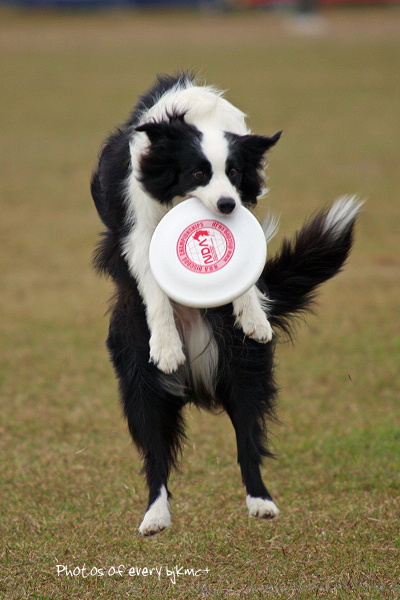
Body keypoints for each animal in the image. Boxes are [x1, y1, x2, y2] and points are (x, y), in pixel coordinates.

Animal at [91, 71, 362, 536]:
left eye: (233, 173)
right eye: (199, 172)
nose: (225, 204)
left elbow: (246, 276)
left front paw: (253, 316)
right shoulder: (137, 227)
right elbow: (154, 284)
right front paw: (166, 345)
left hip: (243, 371)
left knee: (248, 443)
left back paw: (261, 501)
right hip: (139, 382)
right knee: (155, 458)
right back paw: (155, 517)